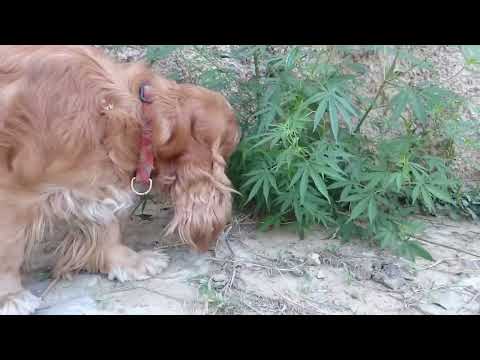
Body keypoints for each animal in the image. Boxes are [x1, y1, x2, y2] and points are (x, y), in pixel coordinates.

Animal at [0, 45, 240, 316]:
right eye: (230, 145)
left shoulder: (93, 183)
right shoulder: (11, 195)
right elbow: (8, 249)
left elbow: (107, 225)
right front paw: (10, 296)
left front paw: (128, 262)